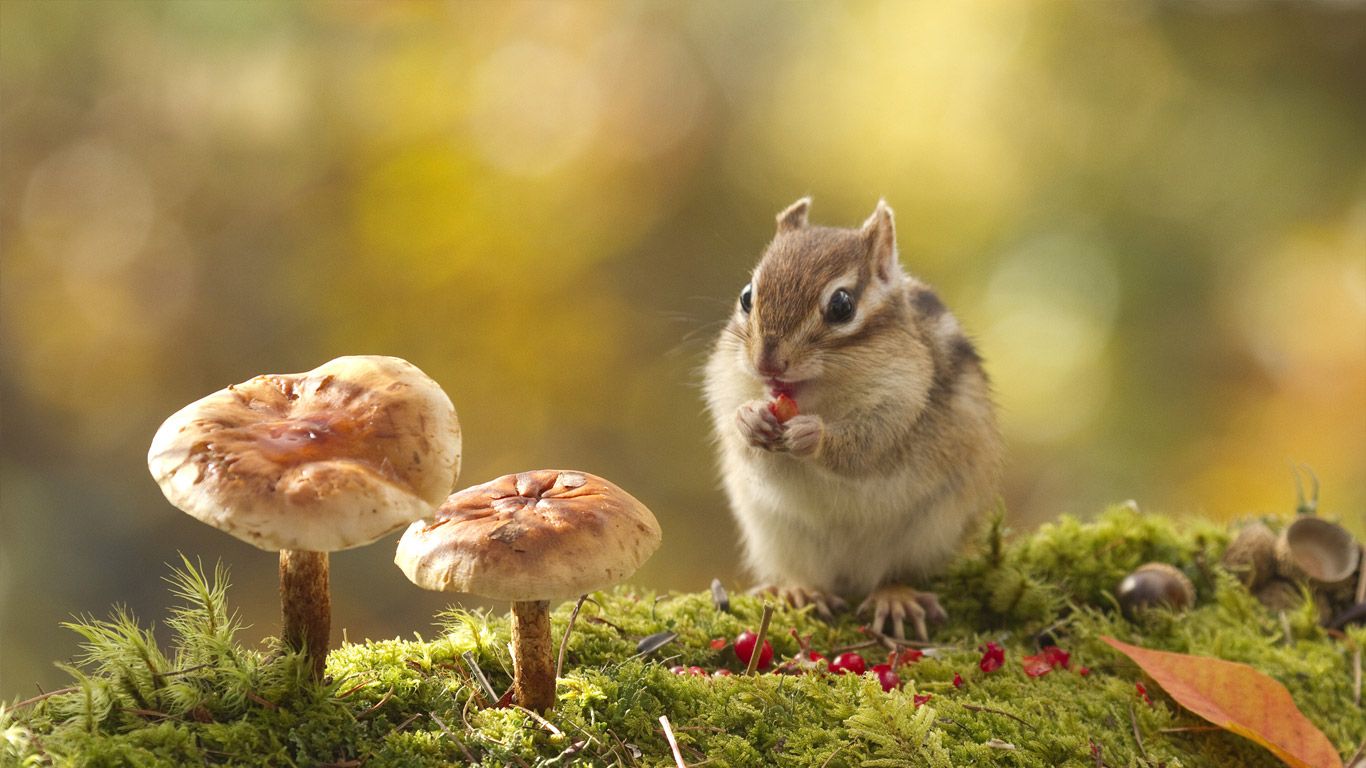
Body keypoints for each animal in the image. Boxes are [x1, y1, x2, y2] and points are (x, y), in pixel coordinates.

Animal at [703, 197, 1004, 640]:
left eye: (842, 305)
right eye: (746, 296)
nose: (766, 362)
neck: (821, 396)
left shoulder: (900, 406)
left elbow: (864, 450)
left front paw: (813, 436)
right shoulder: (727, 388)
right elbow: (746, 445)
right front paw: (750, 420)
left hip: (928, 534)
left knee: (896, 572)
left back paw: (895, 597)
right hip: (778, 537)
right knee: (806, 574)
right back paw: (799, 591)